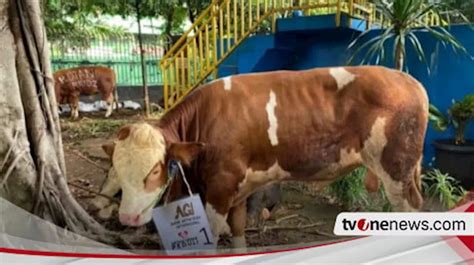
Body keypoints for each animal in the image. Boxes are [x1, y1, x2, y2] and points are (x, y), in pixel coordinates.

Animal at [94, 65, 428, 249]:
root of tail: (409, 79)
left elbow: (211, 237)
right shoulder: (240, 188)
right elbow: (239, 232)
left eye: (154, 169)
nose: (127, 217)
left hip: (397, 170)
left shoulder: (220, 186)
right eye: (115, 170)